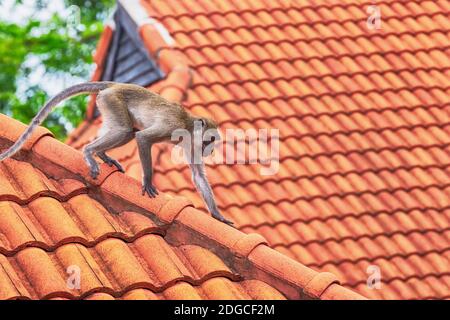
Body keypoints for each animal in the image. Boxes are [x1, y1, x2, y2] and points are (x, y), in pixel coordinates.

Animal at [0, 80, 232, 225]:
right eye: (210, 140)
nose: (210, 151)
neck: (188, 126)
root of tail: (115, 85)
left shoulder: (191, 144)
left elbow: (198, 175)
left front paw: (217, 215)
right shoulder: (172, 126)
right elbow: (143, 138)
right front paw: (148, 181)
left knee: (127, 131)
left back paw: (102, 155)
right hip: (113, 100)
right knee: (126, 131)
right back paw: (89, 152)